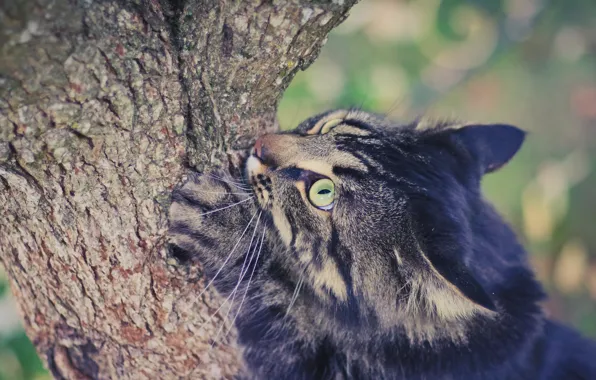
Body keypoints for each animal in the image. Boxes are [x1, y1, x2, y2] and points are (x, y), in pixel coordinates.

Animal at [166, 108, 596, 378]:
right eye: (327, 127)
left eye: (323, 193)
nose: (260, 145)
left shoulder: (304, 364)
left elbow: (269, 298)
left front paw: (220, 223)